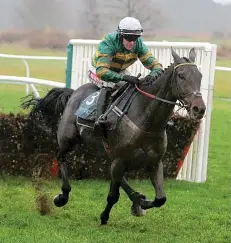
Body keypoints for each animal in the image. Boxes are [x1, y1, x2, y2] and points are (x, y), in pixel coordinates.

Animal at [21, 47, 206, 224]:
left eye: (200, 76)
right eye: (181, 76)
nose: (199, 109)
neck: (146, 121)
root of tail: (73, 92)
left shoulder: (154, 162)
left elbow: (161, 198)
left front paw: (141, 203)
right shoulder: (121, 159)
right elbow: (113, 196)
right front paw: (104, 217)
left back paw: (137, 199)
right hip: (68, 139)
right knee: (60, 157)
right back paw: (62, 196)